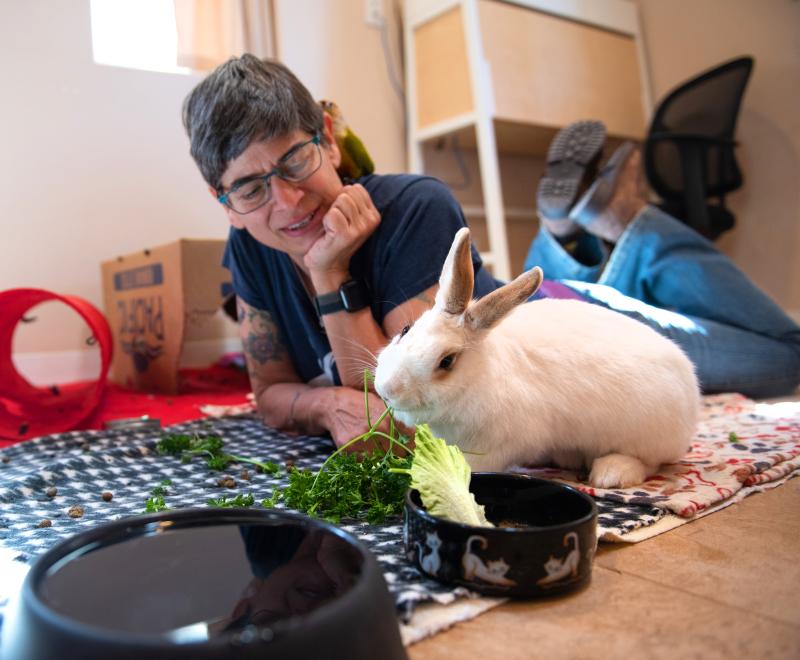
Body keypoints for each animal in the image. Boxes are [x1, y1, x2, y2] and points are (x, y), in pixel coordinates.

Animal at [372, 227, 696, 490]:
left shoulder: (495, 446)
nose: (386, 390)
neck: (478, 378)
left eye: (447, 361)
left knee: (649, 462)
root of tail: (690, 384)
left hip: (645, 437)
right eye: (405, 329)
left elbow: (472, 466)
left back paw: (611, 473)